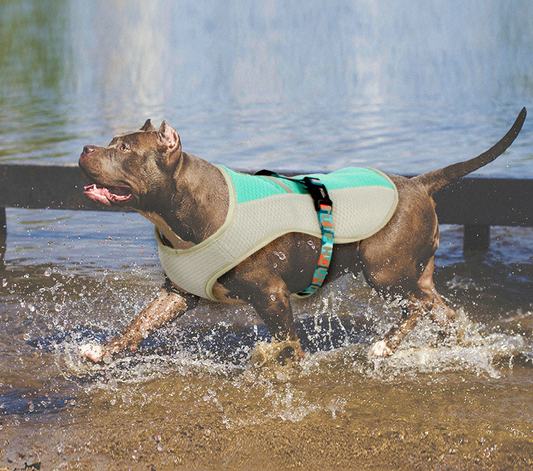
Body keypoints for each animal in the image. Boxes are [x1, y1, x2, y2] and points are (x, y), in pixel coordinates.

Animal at [77, 108, 524, 366]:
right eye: (112, 142)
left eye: (123, 148)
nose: (84, 148)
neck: (187, 205)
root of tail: (418, 184)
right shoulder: (177, 293)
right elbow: (138, 324)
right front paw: (102, 351)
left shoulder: (271, 294)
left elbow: (286, 341)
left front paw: (282, 364)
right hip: (413, 273)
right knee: (439, 308)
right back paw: (448, 343)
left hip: (384, 271)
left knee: (416, 306)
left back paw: (384, 346)